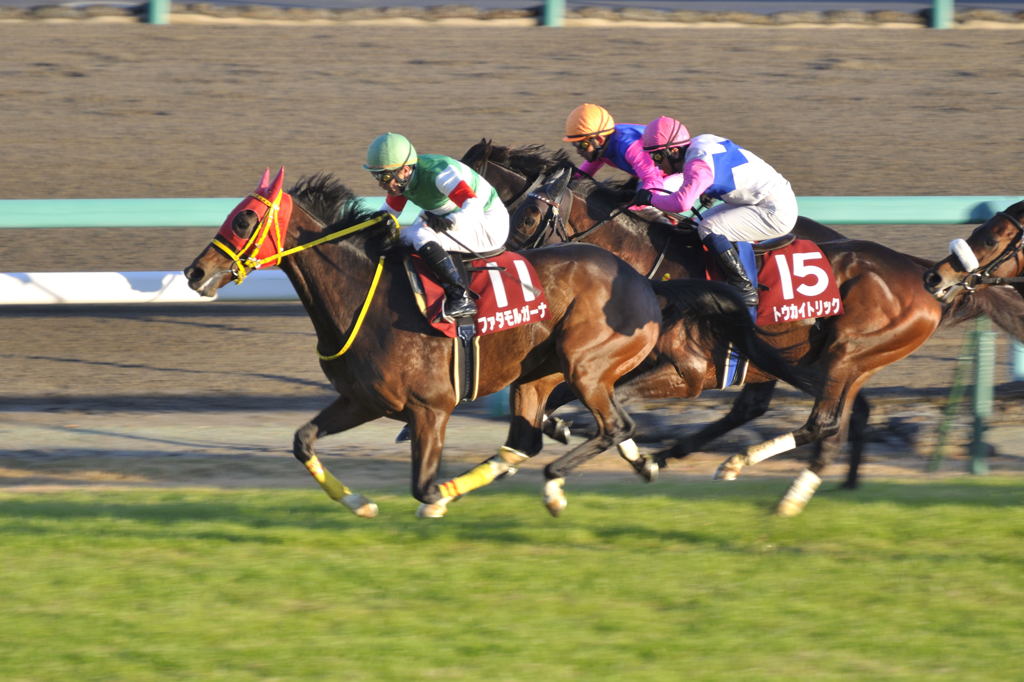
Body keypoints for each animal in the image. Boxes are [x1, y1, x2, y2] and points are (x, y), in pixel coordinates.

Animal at [182, 169, 817, 518]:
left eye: (244, 221)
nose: (194, 273)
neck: (363, 291)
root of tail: (645, 282)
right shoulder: (364, 399)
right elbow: (303, 441)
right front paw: (359, 503)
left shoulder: (430, 408)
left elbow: (422, 484)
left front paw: (437, 497)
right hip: (537, 375)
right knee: (527, 439)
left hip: (588, 367)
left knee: (614, 424)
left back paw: (564, 483)